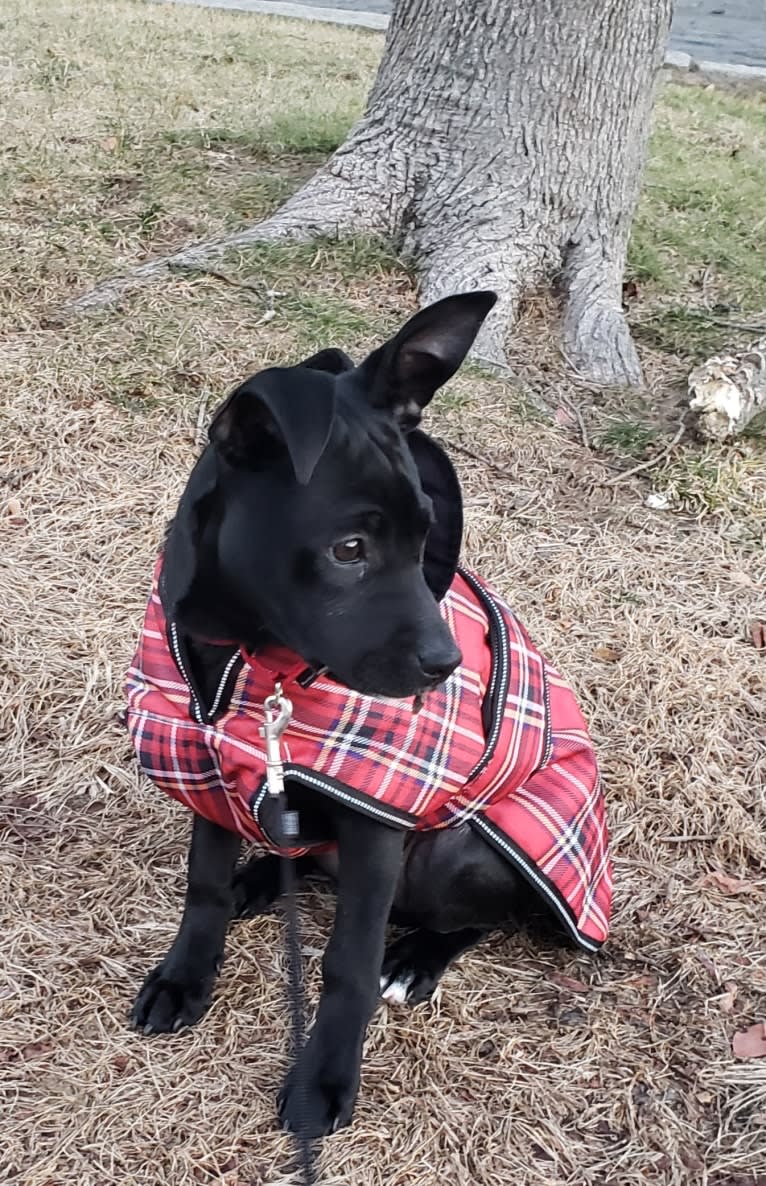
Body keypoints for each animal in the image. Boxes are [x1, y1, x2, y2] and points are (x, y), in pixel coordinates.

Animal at [126, 291, 611, 1133]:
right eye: (349, 548)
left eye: (426, 536)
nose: (447, 666)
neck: (242, 655)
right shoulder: (202, 761)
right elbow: (204, 886)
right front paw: (185, 977)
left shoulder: (376, 818)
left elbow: (347, 963)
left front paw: (323, 1080)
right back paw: (265, 878)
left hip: (462, 853)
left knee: (483, 917)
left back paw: (415, 957)